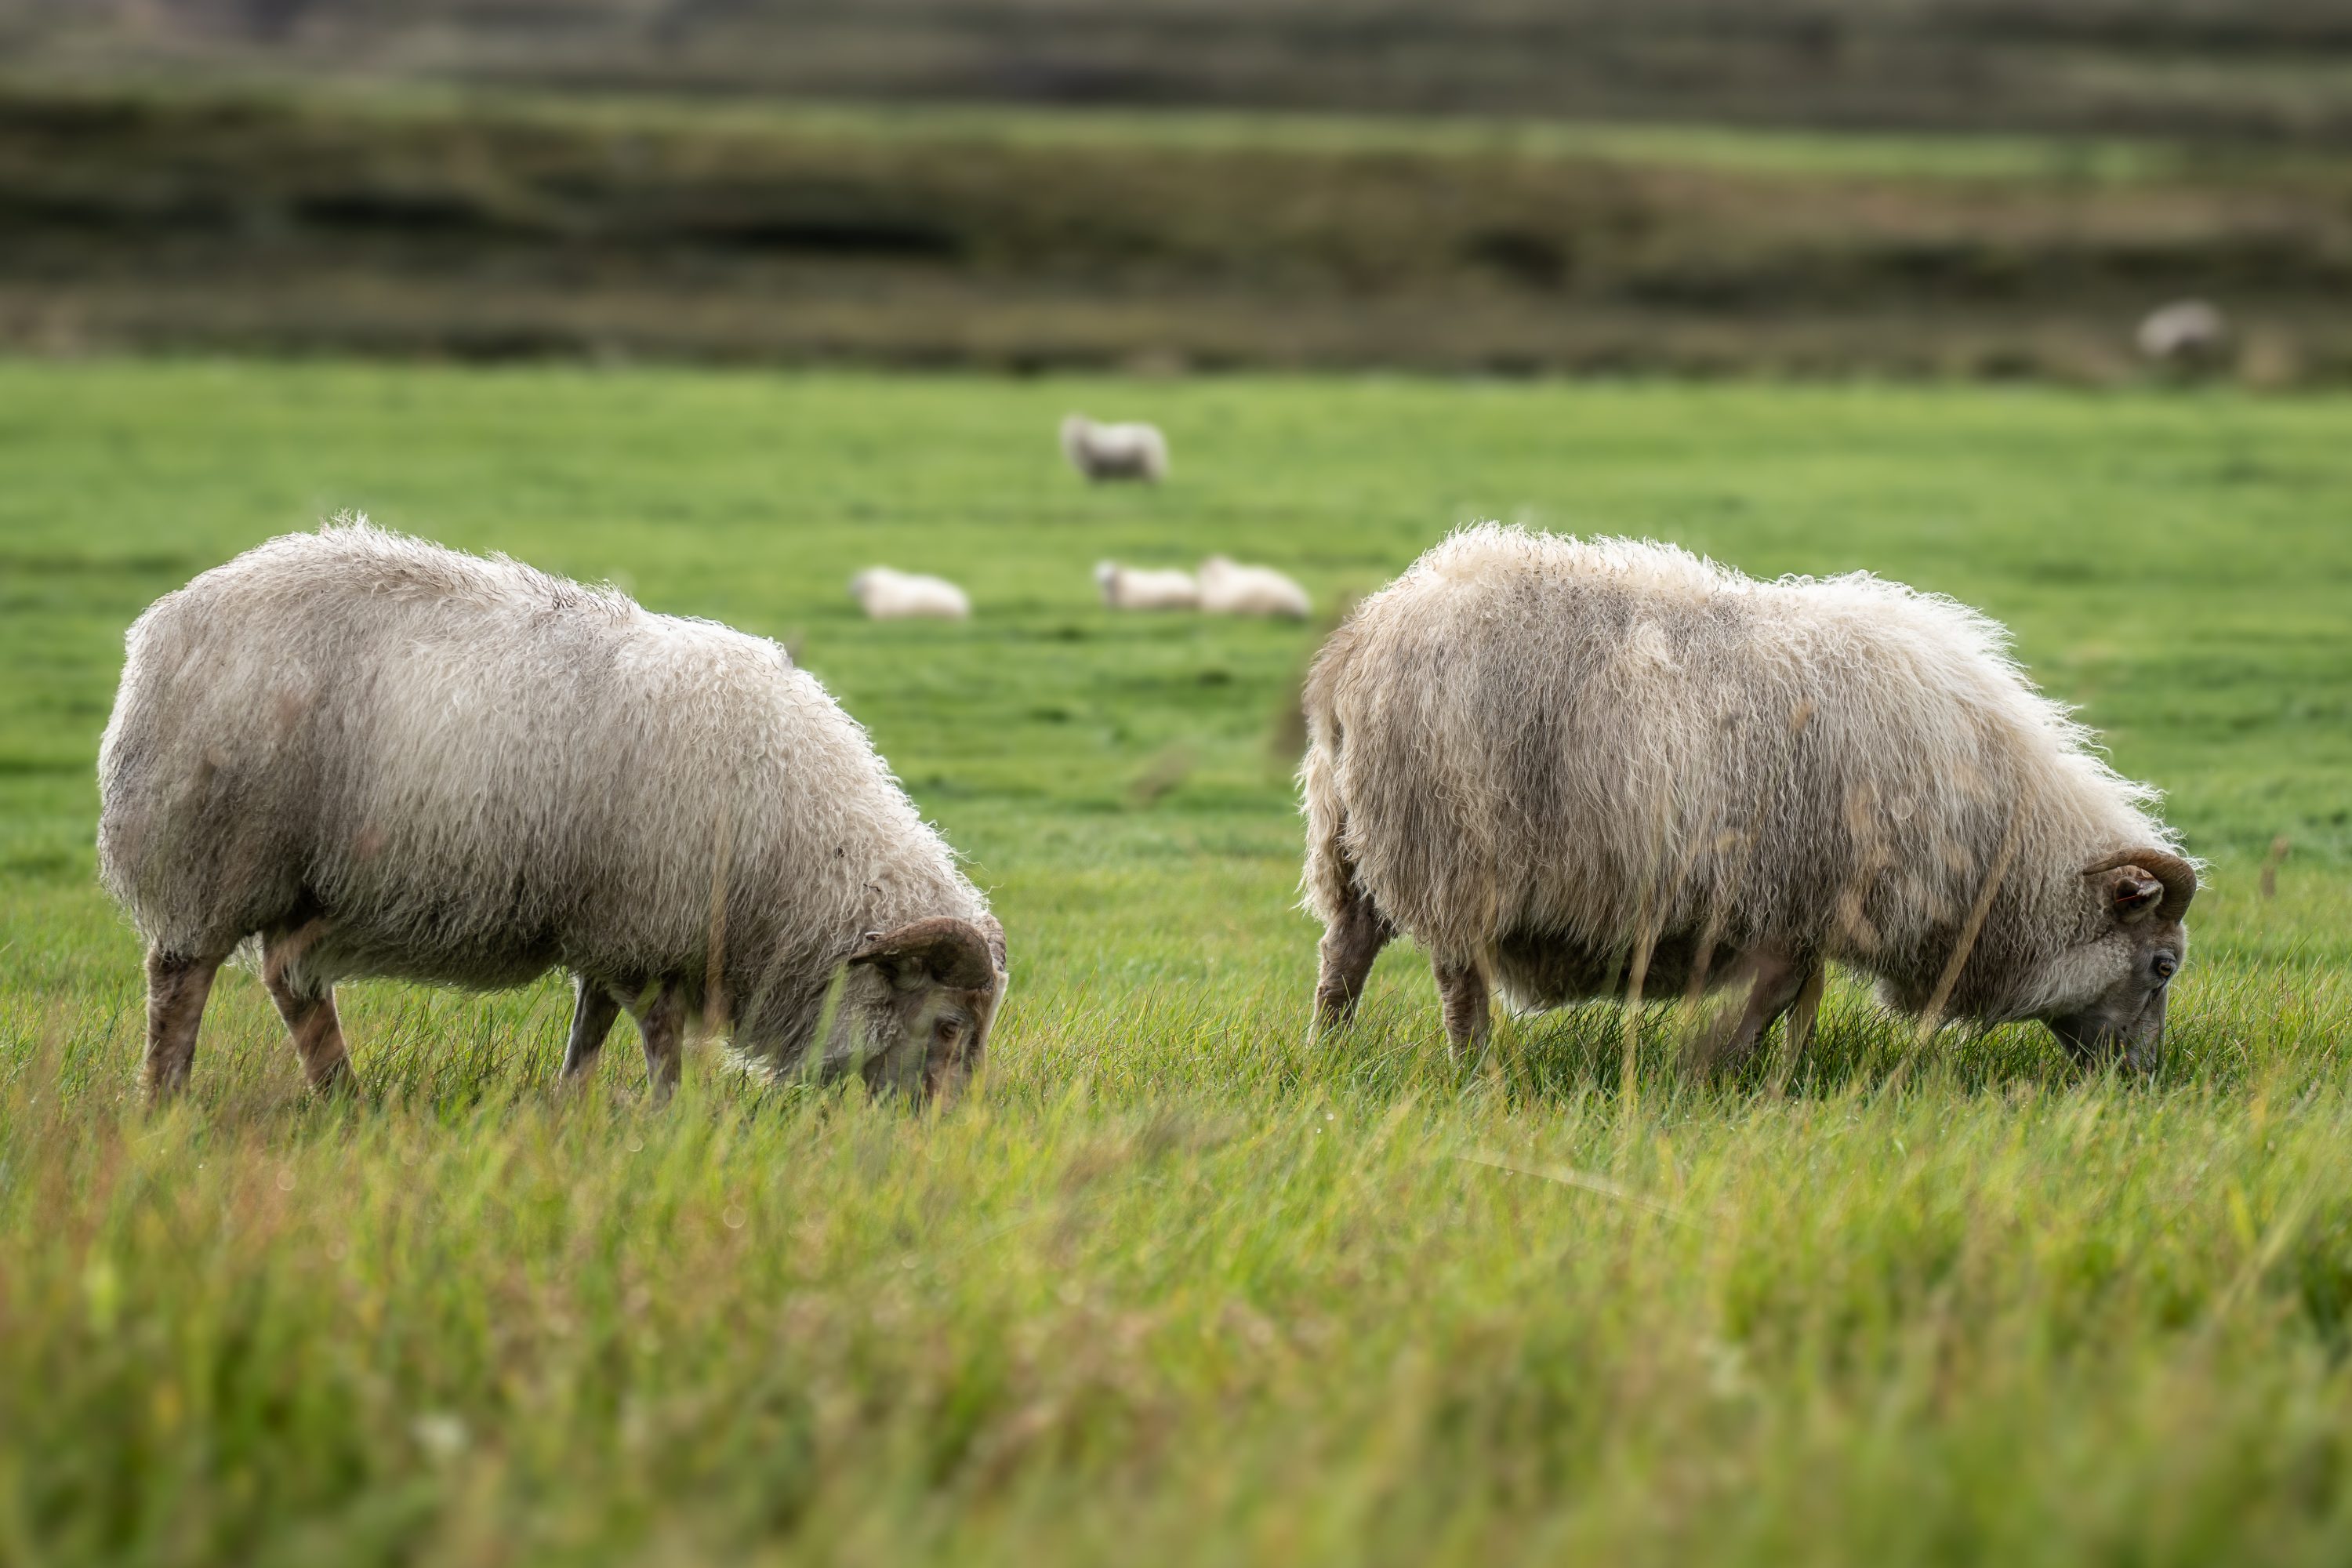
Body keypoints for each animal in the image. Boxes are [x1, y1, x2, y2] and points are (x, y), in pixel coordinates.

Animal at [1061, 414, 1169, 483]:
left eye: (1079, 430)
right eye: (1069, 430)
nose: (1073, 437)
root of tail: (1154, 436)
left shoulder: (1098, 468)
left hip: (1148, 463)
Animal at [1302, 525, 2196, 1073]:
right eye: (2162, 964)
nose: (2138, 1080)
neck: (2000, 838)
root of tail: (1362, 641)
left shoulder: (1798, 907)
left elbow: (1791, 1000)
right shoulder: (1801, 899)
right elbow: (1770, 999)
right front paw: (1719, 1073)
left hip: (1350, 842)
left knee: (1345, 955)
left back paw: (1329, 1054)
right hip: (1447, 847)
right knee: (1457, 980)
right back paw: (1474, 1069)